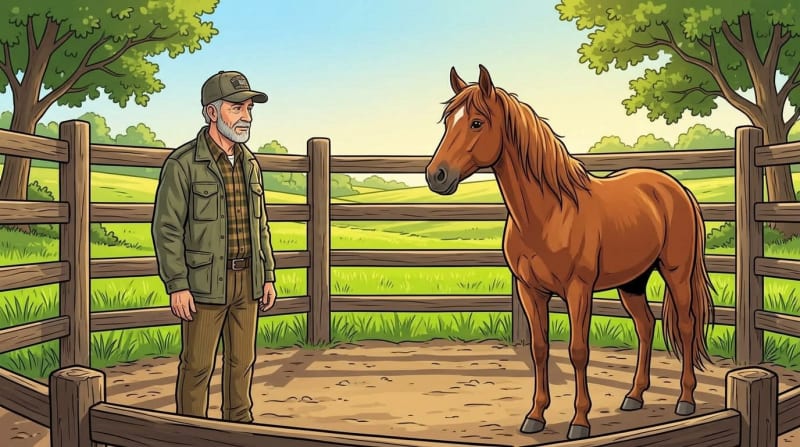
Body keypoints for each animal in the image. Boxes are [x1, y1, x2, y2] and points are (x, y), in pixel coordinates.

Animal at [425, 65, 715, 440]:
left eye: (476, 122)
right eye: (448, 121)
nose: (436, 175)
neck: (548, 214)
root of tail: (674, 187)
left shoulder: (578, 290)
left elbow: (578, 351)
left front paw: (579, 422)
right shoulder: (530, 290)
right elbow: (540, 350)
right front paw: (535, 416)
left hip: (676, 273)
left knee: (685, 325)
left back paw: (685, 400)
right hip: (632, 282)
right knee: (646, 326)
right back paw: (634, 396)